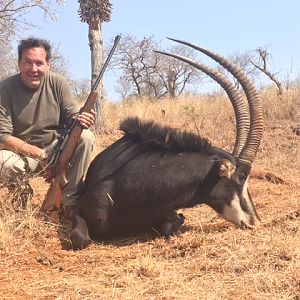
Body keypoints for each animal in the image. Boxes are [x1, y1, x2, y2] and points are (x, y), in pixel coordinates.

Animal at [69, 37, 262, 250]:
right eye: (242, 177)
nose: (255, 221)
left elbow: (171, 224)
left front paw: (179, 219)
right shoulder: (77, 211)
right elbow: (80, 239)